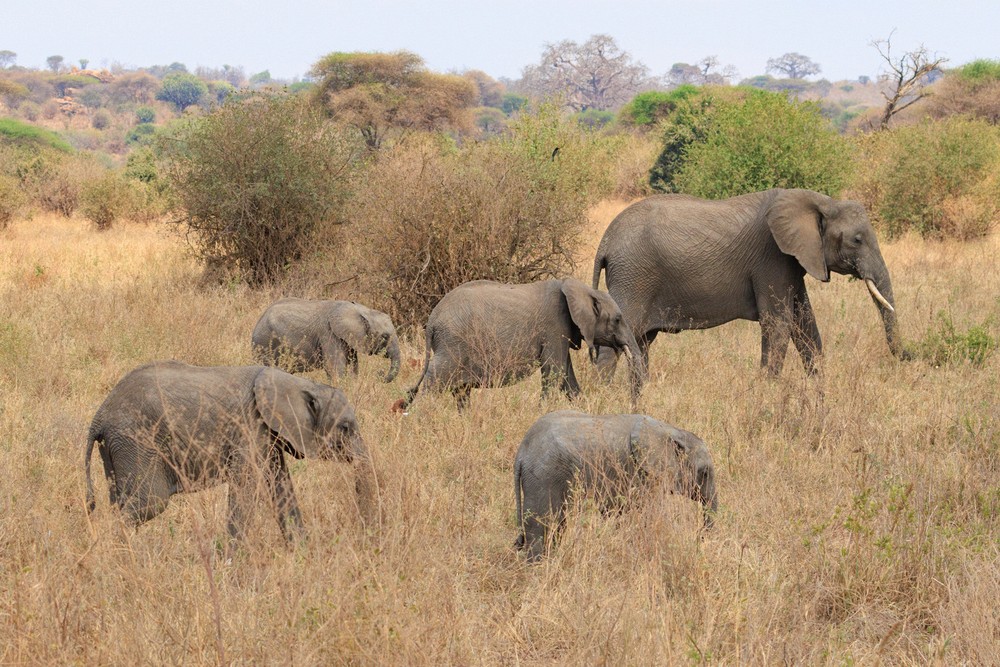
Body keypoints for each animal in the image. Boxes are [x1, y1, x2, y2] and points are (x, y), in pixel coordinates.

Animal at [85, 361, 376, 546]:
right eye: (346, 427)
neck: (299, 383)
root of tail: (99, 416)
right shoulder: (249, 427)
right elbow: (245, 487)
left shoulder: (267, 434)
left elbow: (280, 485)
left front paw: (303, 552)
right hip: (137, 441)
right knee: (150, 503)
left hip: (117, 448)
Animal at [252, 298, 401, 383]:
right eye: (385, 336)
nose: (380, 374)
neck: (362, 310)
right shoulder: (328, 334)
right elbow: (335, 368)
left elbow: (353, 366)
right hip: (265, 344)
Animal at [397, 278, 645, 411]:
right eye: (618, 319)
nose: (634, 406)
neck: (581, 288)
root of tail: (432, 321)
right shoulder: (554, 327)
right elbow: (554, 373)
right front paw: (542, 412)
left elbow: (566, 376)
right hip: (453, 344)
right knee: (435, 378)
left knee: (460, 390)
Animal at [513, 410, 717, 561]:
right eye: (704, 472)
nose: (699, 539)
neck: (671, 431)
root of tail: (522, 452)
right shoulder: (639, 472)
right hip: (544, 475)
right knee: (542, 524)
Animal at [592, 189, 909, 390]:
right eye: (857, 240)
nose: (907, 356)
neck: (821, 200)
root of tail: (604, 243)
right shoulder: (772, 258)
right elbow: (779, 322)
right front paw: (767, 391)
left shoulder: (792, 261)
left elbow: (805, 323)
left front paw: (819, 388)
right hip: (633, 277)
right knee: (616, 342)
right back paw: (604, 396)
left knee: (641, 342)